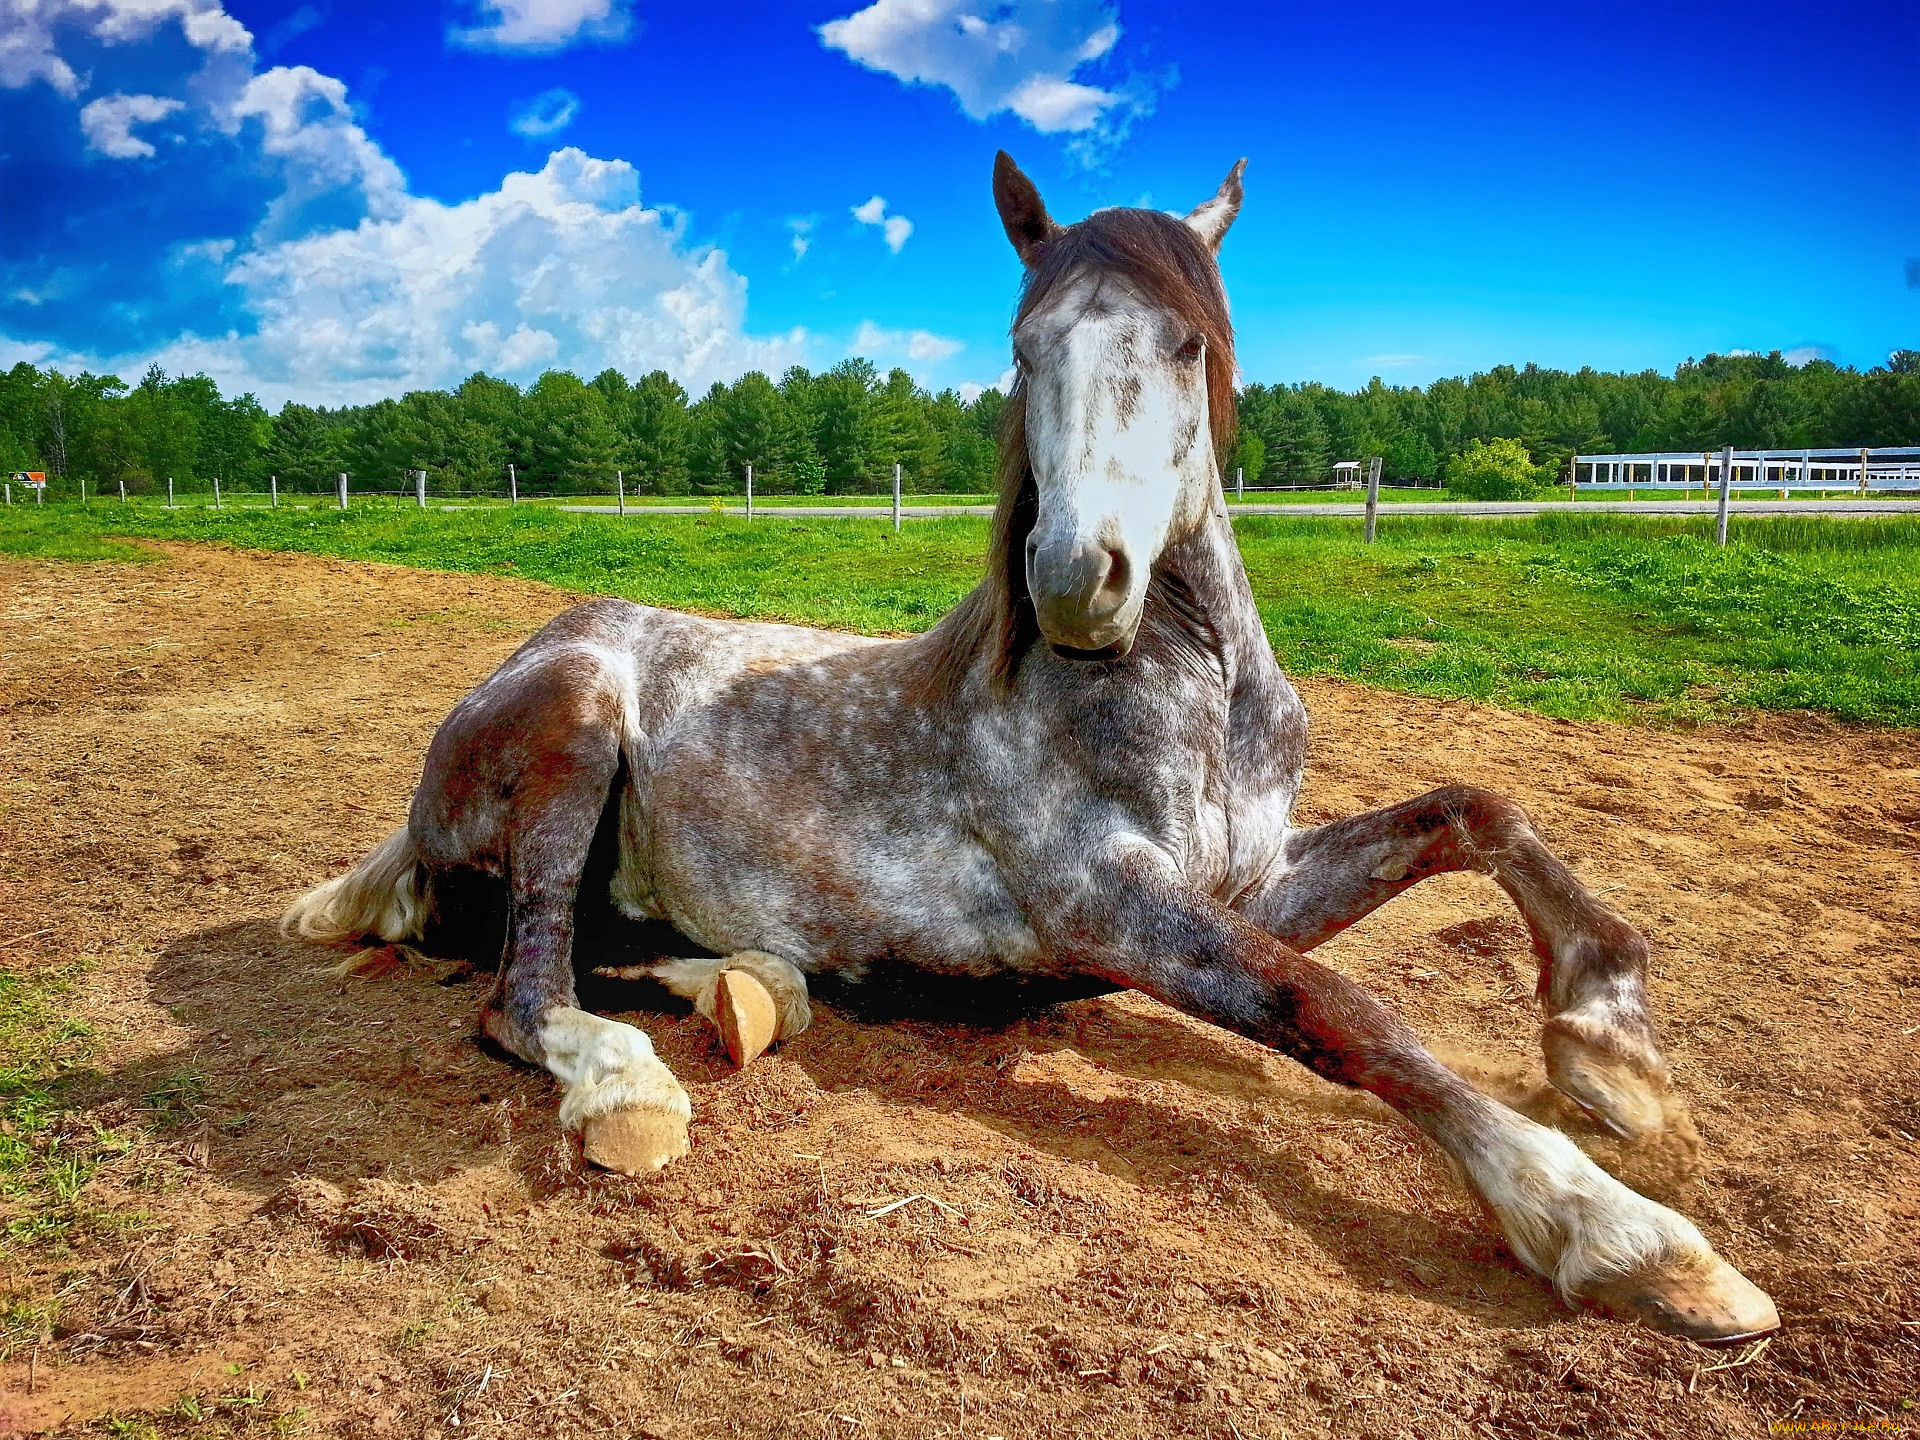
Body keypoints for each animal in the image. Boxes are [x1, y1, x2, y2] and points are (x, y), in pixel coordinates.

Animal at [284, 152, 1781, 1351]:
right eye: (1022, 349)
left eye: (1187, 345)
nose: (1076, 583)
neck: (1191, 695)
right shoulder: (1105, 906)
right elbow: (1339, 1009)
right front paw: (1626, 1236)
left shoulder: (1251, 879)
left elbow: (1480, 810)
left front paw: (1615, 1056)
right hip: (582, 719)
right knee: (522, 989)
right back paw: (626, 1088)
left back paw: (754, 989)